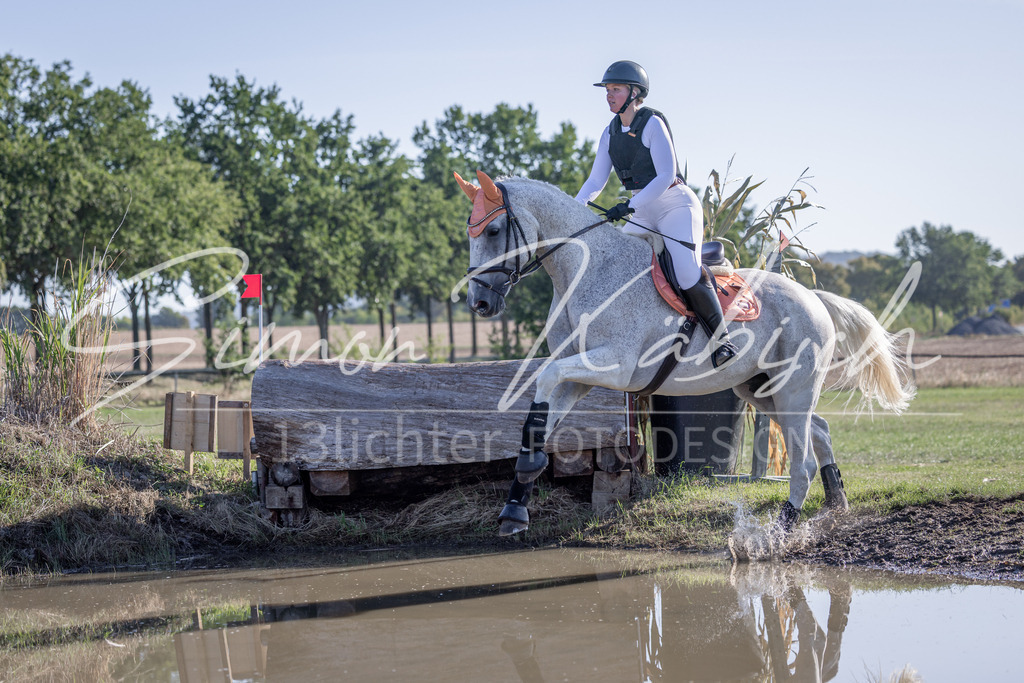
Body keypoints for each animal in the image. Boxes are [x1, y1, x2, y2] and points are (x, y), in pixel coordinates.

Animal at [454, 170, 915, 536]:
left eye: (492, 232)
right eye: (469, 232)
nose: (479, 303)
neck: (587, 270)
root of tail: (812, 296)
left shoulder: (617, 367)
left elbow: (545, 378)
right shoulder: (581, 377)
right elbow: (539, 420)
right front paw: (515, 508)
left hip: (792, 388)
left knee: (802, 463)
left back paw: (779, 532)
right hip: (760, 389)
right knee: (819, 430)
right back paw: (836, 506)